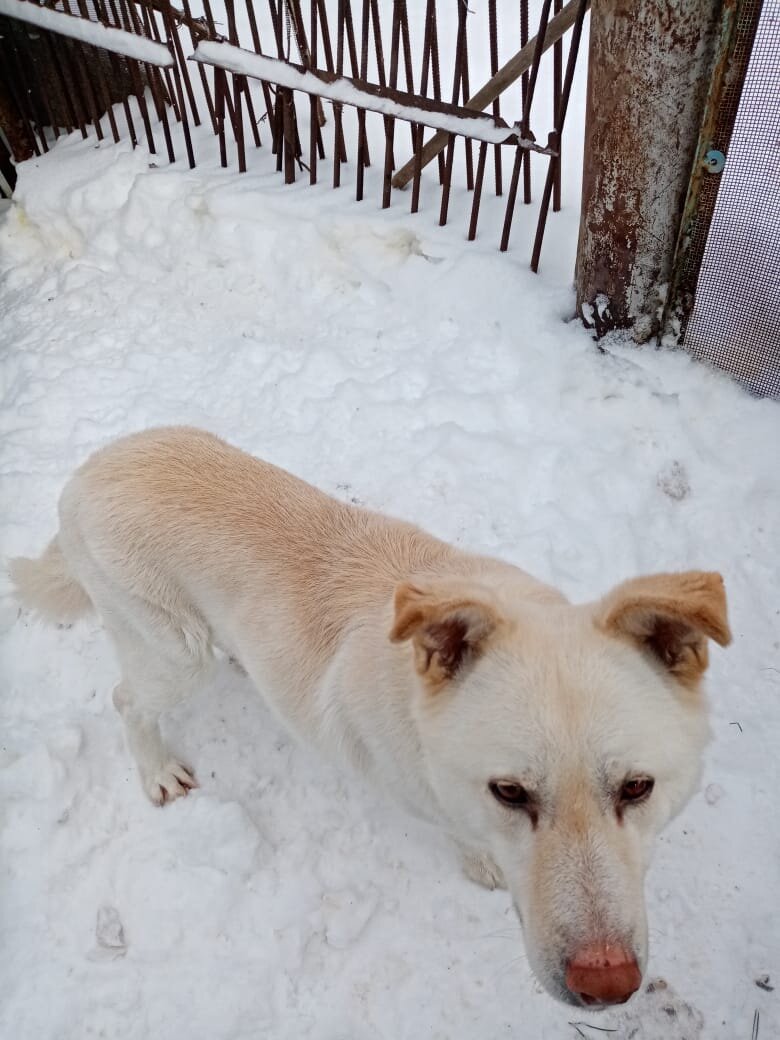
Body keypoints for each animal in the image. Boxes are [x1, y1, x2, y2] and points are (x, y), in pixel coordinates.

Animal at [10, 424, 732, 1006]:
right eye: (509, 792)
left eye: (637, 788)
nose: (606, 984)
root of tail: (84, 473)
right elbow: (463, 836)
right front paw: (483, 862)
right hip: (173, 653)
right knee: (126, 700)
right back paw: (157, 768)